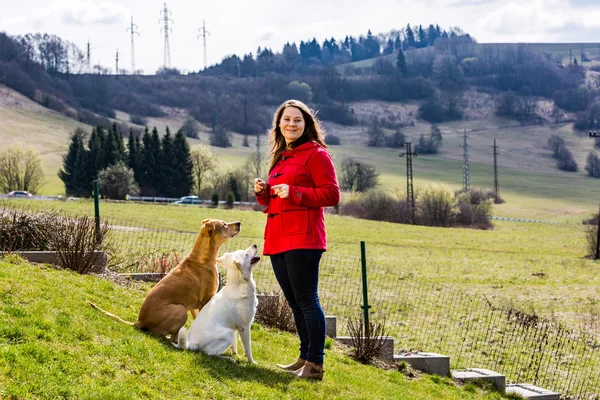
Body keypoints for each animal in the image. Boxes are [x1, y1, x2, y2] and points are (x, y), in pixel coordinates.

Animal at [89, 219, 239, 344]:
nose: (239, 223)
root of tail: (140, 321)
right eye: (224, 224)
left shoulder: (196, 306)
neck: (202, 258)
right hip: (180, 310)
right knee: (166, 335)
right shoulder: (205, 301)